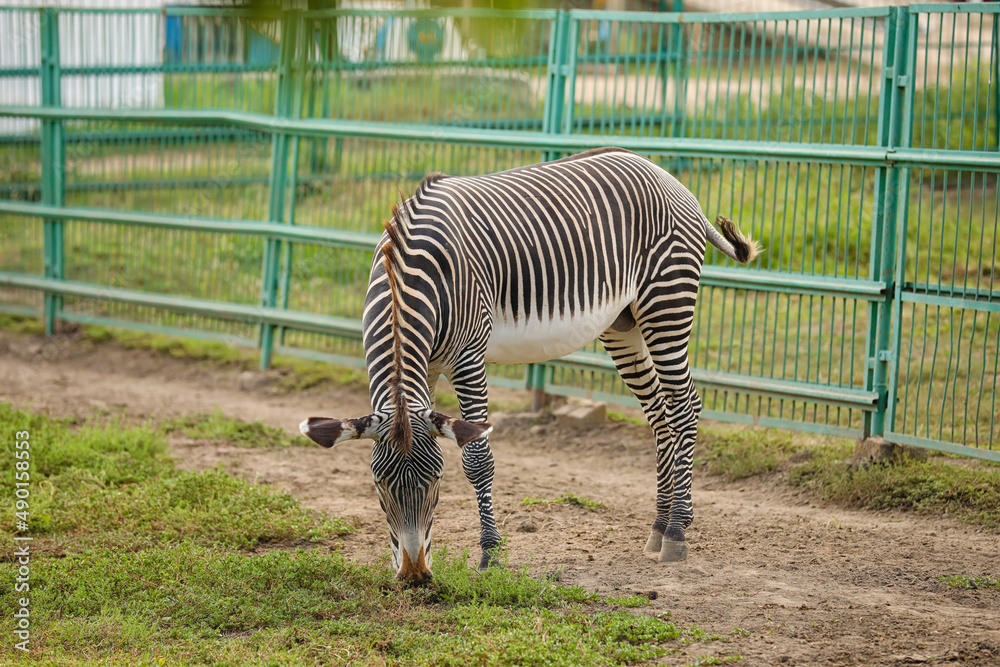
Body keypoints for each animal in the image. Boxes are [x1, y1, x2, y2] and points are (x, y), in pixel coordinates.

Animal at [300, 147, 760, 584]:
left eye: (436, 482)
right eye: (379, 487)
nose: (414, 577)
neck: (409, 278)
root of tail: (667, 176)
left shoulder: (469, 357)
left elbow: (477, 458)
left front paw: (490, 555)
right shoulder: (425, 370)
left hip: (667, 302)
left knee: (685, 406)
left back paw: (678, 531)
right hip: (622, 323)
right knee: (659, 414)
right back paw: (659, 527)